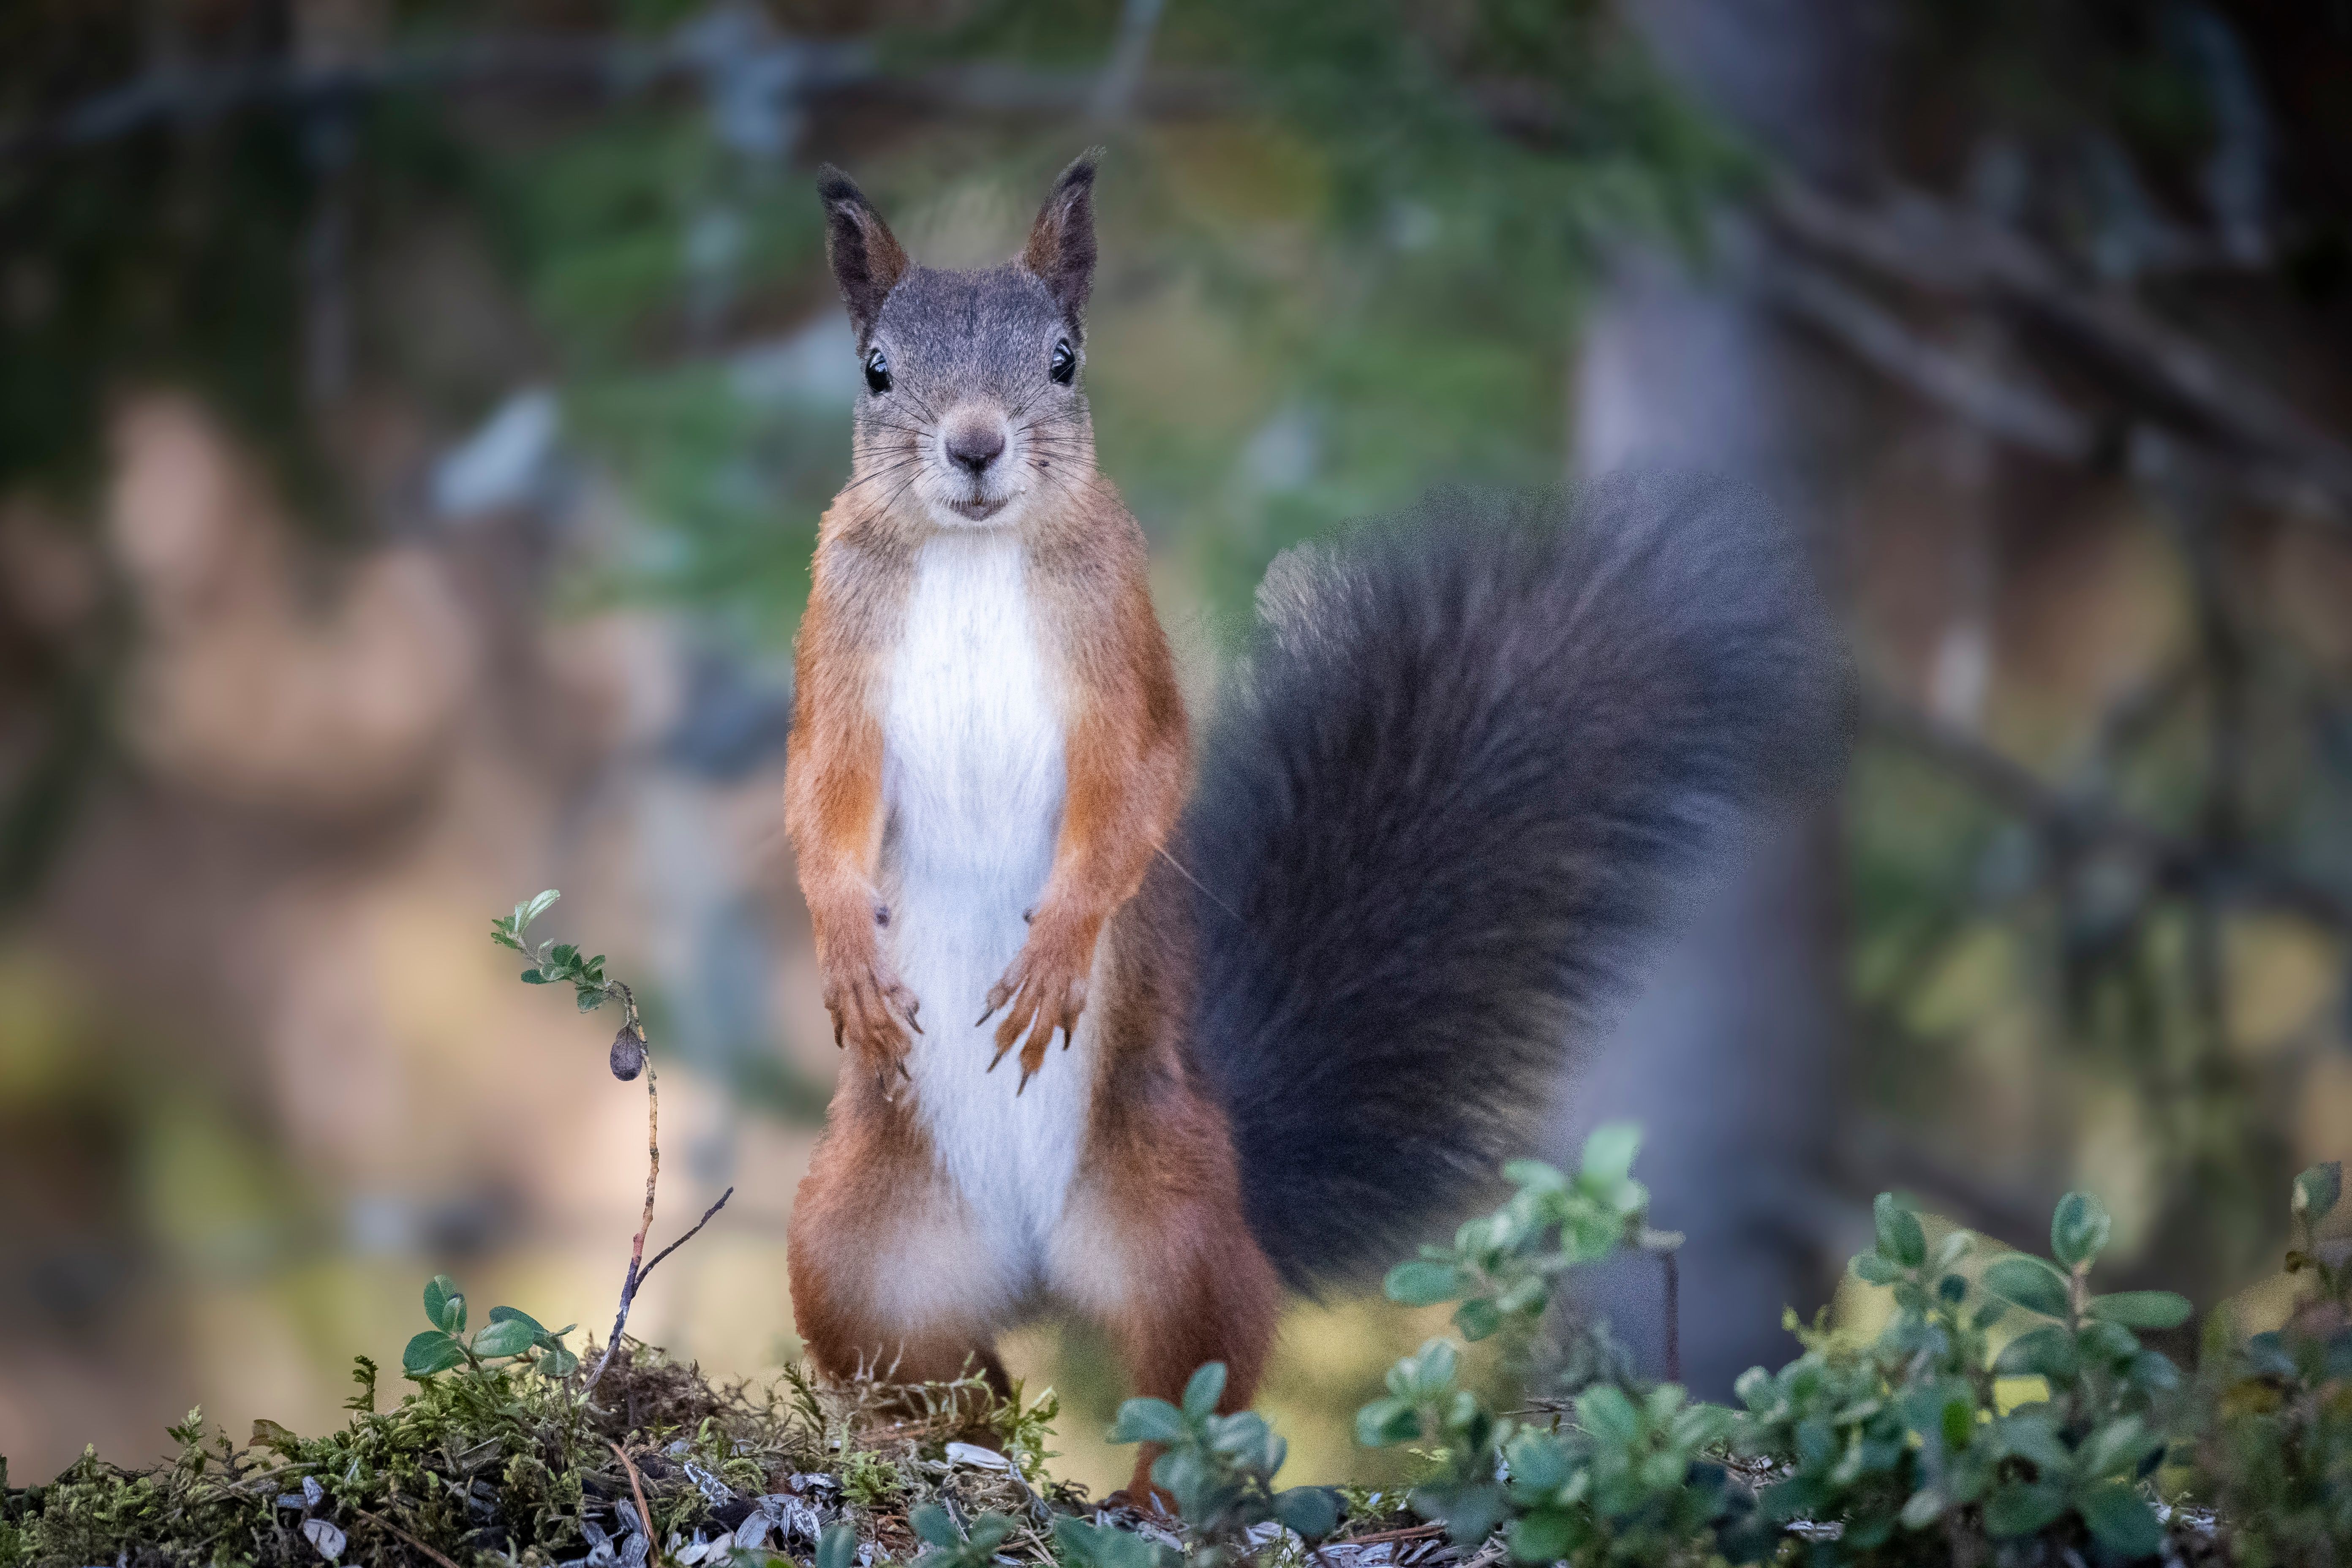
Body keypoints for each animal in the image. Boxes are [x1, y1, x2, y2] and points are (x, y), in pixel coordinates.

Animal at [783, 150, 1844, 1497]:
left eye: (1065, 359)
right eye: (877, 371)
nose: (975, 447)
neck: (976, 557)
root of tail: (1033, 1268)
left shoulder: (1123, 650)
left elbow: (1141, 782)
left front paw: (1059, 946)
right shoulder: (836, 648)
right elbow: (818, 794)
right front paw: (846, 950)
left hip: (1174, 1221)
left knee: (1203, 1371)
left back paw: (1155, 1491)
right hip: (854, 1249)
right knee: (931, 1376)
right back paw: (941, 1453)